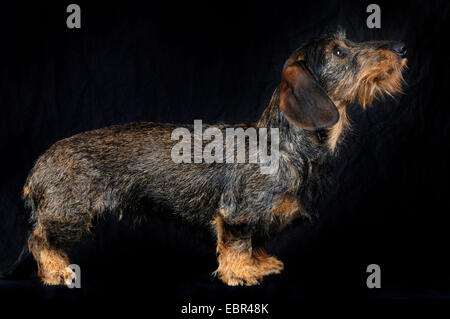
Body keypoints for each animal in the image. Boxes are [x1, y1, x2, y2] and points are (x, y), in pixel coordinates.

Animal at [22, 31, 408, 288]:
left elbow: (255, 242)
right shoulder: (238, 214)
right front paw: (241, 272)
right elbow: (237, 244)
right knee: (39, 240)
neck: (284, 143)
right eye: (340, 51)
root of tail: (38, 166)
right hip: (71, 215)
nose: (402, 48)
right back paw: (57, 271)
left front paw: (260, 263)